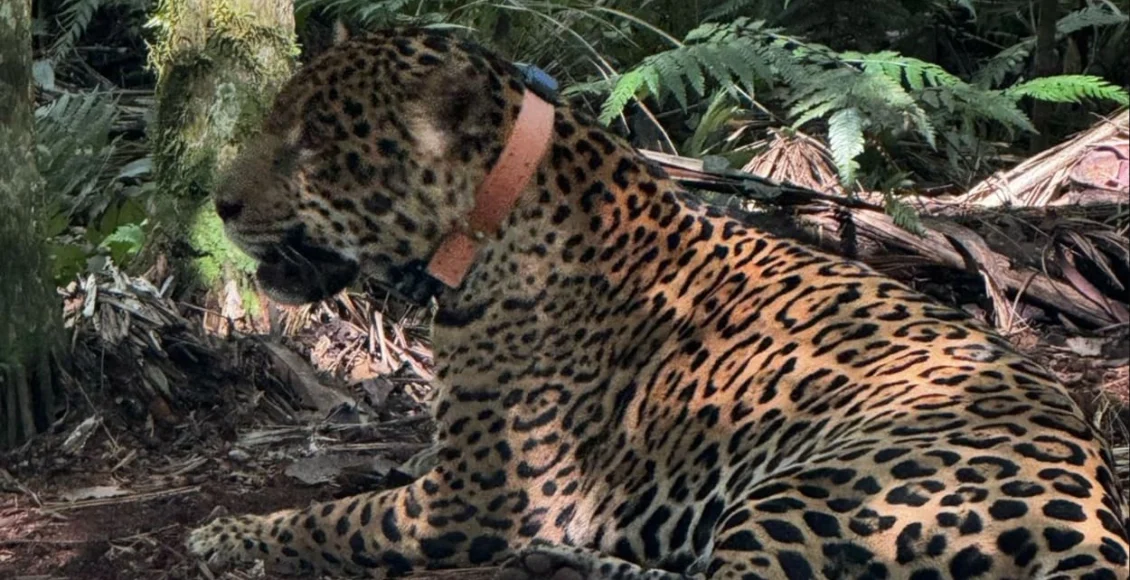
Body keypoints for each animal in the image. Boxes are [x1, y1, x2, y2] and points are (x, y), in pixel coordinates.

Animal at [189, 27, 1129, 580]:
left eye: (313, 142)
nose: (219, 203)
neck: (496, 215)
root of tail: (1093, 524)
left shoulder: (474, 498)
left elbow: (328, 521)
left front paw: (227, 538)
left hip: (812, 486)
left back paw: (564, 556)